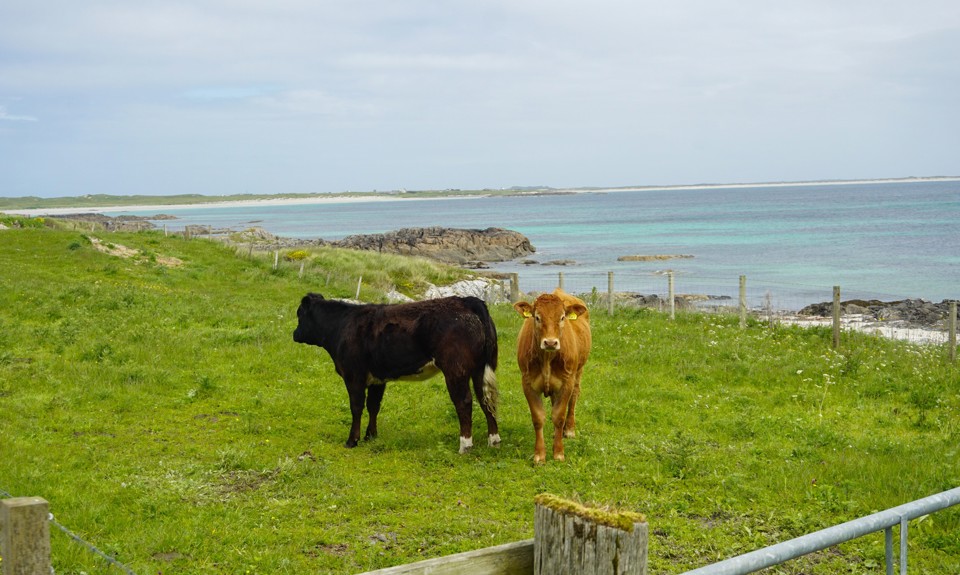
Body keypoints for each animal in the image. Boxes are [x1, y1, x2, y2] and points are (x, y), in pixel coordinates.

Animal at [293, 293, 500, 453]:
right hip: (479, 368)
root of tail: (467, 300)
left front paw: (352, 440)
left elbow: (356, 407)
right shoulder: (377, 379)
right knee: (485, 399)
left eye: (299, 314)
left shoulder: (353, 376)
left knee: (464, 402)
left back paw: (465, 445)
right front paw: (371, 436)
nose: (294, 334)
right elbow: (373, 406)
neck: (341, 326)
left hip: (455, 369)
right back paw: (493, 440)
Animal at [514, 288, 591, 463]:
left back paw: (569, 430)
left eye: (562, 317)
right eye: (537, 317)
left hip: (578, 371)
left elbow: (559, 417)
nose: (550, 342)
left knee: (574, 397)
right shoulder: (527, 383)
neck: (547, 359)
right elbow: (538, 418)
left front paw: (558, 453)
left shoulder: (566, 382)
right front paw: (539, 455)